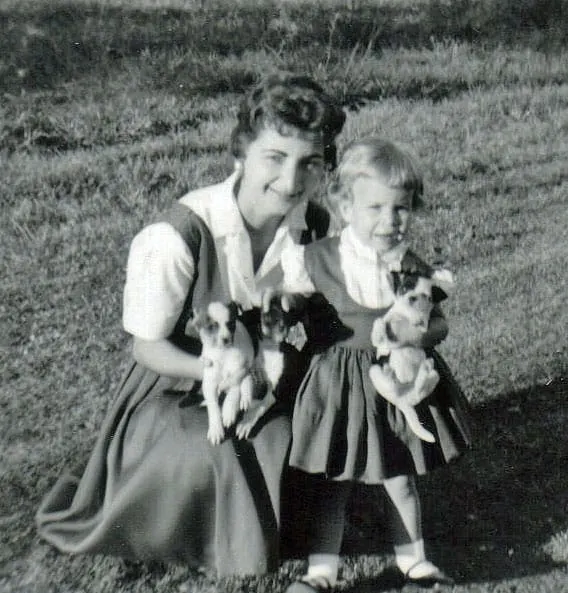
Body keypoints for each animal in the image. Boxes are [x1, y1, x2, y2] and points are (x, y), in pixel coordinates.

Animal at [190, 300, 254, 444]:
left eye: (230, 324)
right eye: (212, 326)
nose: (226, 340)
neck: (223, 353)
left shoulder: (236, 373)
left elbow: (233, 393)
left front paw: (228, 412)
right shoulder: (209, 382)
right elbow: (213, 406)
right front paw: (216, 429)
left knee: (247, 377)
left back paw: (245, 397)